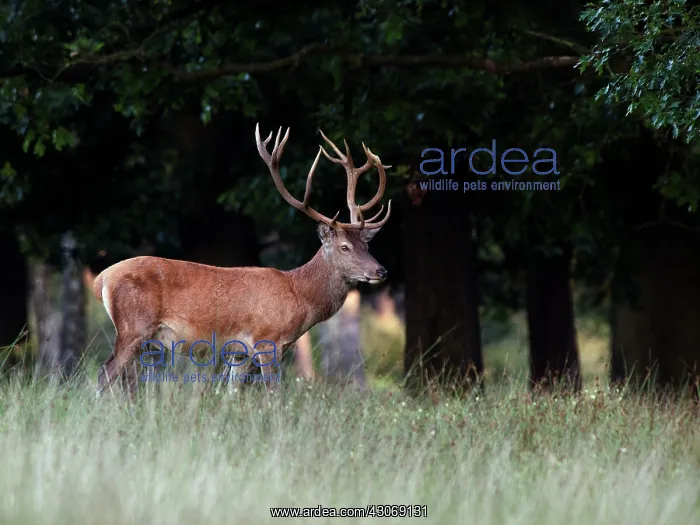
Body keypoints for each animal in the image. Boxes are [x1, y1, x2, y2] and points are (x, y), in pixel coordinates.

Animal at [93, 123, 392, 396]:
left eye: (366, 244)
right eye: (344, 247)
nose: (381, 270)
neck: (300, 296)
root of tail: (101, 279)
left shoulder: (240, 353)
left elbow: (232, 394)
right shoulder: (267, 340)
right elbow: (274, 395)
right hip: (134, 326)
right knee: (105, 373)